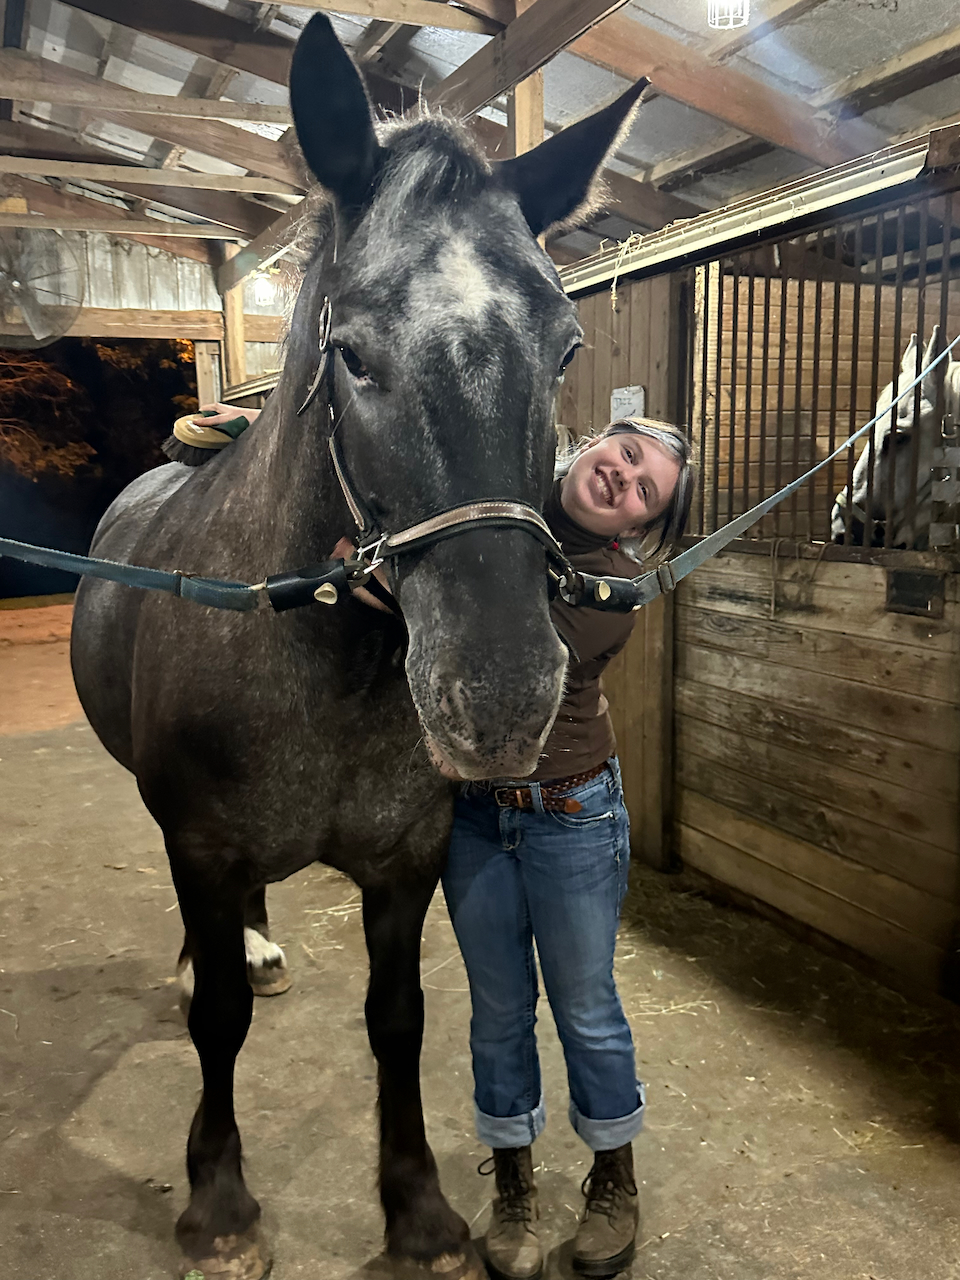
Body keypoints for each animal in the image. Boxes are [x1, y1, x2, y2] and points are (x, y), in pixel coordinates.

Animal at [69, 17, 646, 1279]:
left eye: (565, 344)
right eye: (354, 351)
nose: (499, 695)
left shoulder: (405, 860)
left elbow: (402, 1018)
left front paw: (421, 1210)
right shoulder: (200, 843)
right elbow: (218, 1017)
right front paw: (220, 1203)